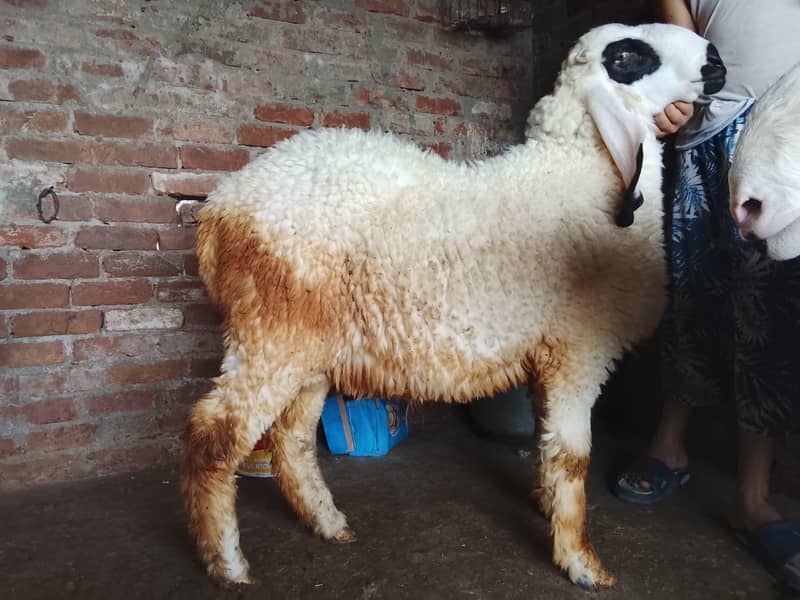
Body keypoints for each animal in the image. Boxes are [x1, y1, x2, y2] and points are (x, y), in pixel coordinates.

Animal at [182, 22, 726, 590]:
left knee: (292, 439)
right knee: (213, 434)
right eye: (627, 57)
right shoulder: (578, 352)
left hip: (309, 347)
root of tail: (221, 205)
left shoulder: (548, 355)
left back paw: (328, 524)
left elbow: (545, 444)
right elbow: (572, 459)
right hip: (269, 334)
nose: (716, 63)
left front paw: (545, 506)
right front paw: (581, 562)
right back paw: (227, 564)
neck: (574, 172)